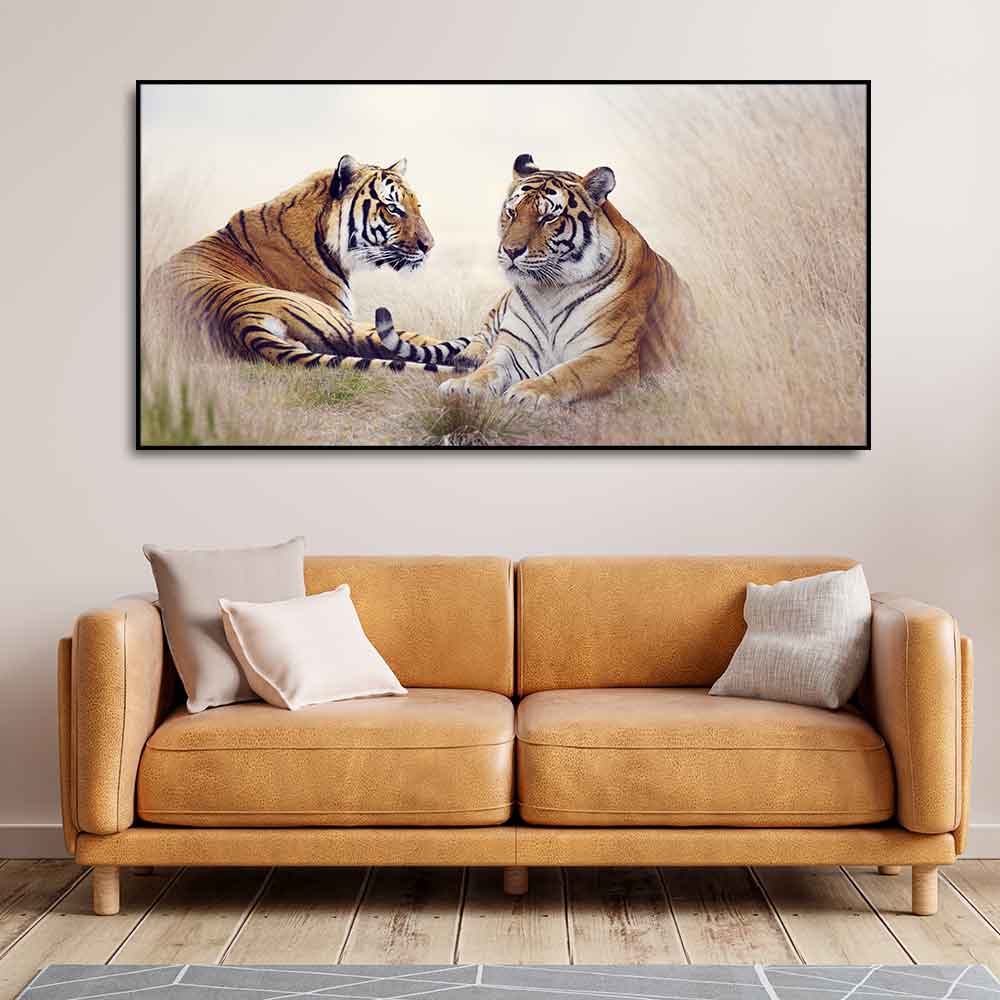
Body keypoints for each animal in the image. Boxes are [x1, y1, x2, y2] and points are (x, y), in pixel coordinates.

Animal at [439, 153, 695, 407]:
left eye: (548, 217)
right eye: (512, 212)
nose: (511, 251)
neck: (549, 290)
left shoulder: (611, 353)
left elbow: (568, 372)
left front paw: (528, 391)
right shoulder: (515, 346)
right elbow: (491, 367)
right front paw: (464, 384)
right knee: (482, 335)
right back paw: (469, 357)